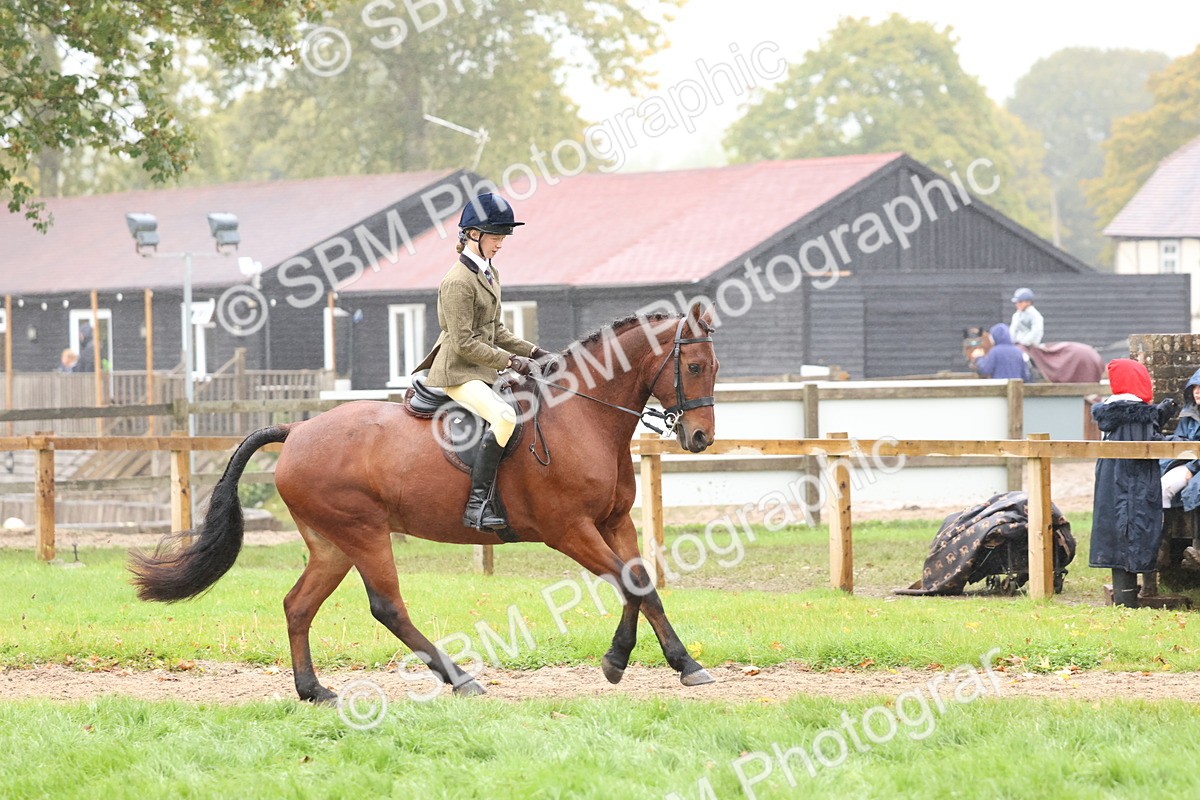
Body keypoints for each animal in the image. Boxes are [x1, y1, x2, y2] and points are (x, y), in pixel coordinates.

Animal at [129, 303, 720, 702]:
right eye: (694, 367)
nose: (700, 439)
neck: (581, 415)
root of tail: (295, 430)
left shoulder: (613, 522)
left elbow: (642, 584)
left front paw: (672, 662)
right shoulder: (569, 529)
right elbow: (628, 582)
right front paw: (626, 660)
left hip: (331, 544)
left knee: (298, 605)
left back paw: (313, 690)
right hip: (364, 533)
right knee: (387, 606)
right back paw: (460, 679)